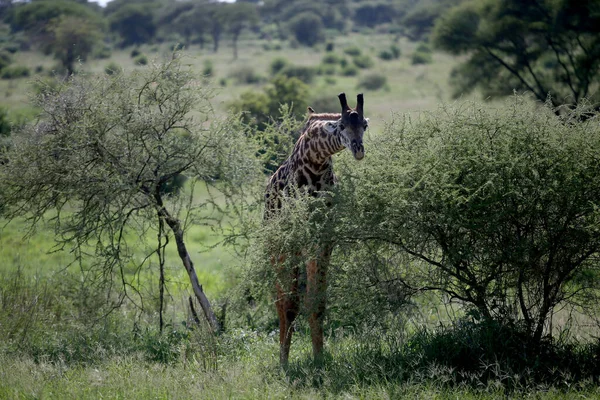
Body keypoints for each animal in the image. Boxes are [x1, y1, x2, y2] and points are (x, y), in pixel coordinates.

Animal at [264, 92, 368, 368]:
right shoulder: (294, 239)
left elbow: (317, 301)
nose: (358, 150)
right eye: (342, 126)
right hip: (275, 246)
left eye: (364, 125)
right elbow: (290, 304)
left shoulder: (323, 238)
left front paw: (319, 358)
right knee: (280, 300)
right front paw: (284, 363)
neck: (315, 162)